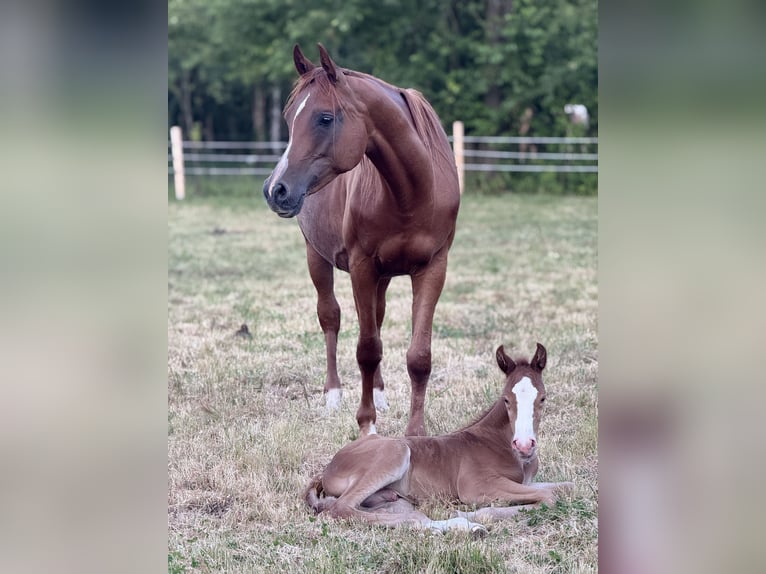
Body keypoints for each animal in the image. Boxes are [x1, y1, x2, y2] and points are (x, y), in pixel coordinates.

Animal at [263, 44, 460, 437]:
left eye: (325, 118)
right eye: (289, 117)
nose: (275, 189)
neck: (411, 194)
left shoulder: (434, 267)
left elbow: (418, 356)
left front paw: (416, 433)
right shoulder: (361, 267)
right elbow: (367, 349)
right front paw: (367, 425)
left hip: (383, 276)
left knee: (378, 320)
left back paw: (381, 393)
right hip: (317, 257)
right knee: (331, 318)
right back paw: (333, 394)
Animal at [303, 343, 574, 534]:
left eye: (543, 398)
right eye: (506, 399)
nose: (525, 445)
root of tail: (328, 468)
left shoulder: (527, 482)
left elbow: (566, 488)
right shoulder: (477, 486)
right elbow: (549, 498)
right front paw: (474, 514)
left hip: (388, 497)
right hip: (395, 452)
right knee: (341, 509)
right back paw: (465, 525)